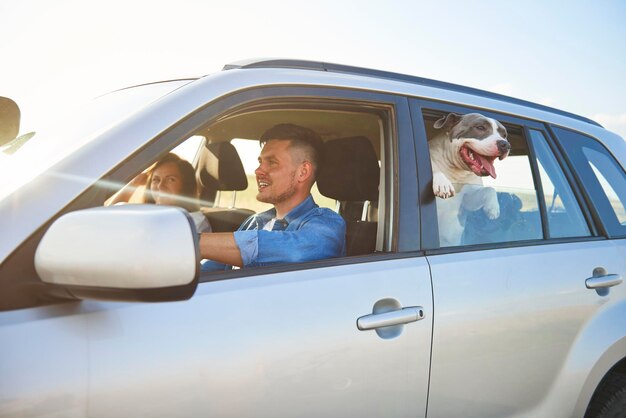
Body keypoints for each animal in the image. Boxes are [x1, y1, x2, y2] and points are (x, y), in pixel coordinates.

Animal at [426, 112, 510, 247]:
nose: (505, 144)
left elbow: (489, 189)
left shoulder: (468, 199)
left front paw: (493, 208)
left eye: (504, 135)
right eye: (480, 127)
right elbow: (436, 170)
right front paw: (443, 184)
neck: (458, 171)